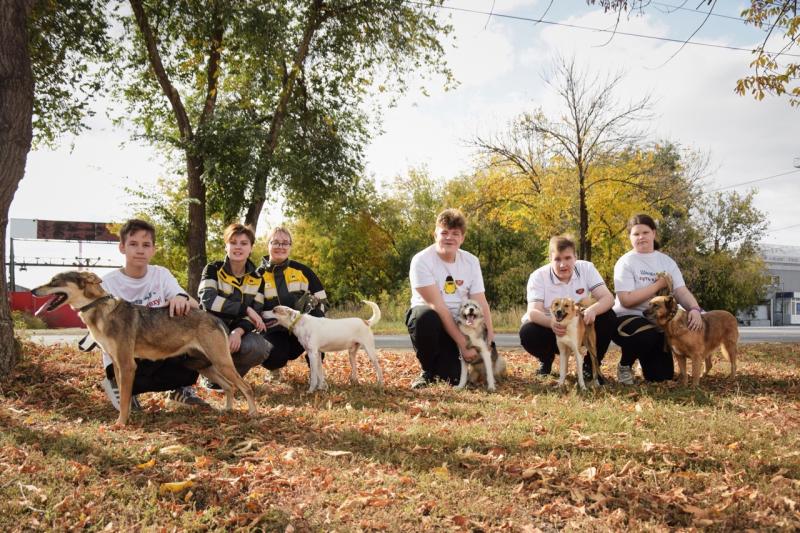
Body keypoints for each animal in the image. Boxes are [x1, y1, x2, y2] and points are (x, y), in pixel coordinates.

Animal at [30, 270, 256, 424]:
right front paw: (126, 418)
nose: (32, 291)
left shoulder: (128, 365)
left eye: (54, 281)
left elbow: (124, 399)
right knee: (229, 387)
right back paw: (227, 410)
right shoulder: (118, 366)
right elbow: (124, 396)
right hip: (204, 366)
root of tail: (214, 318)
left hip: (221, 363)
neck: (99, 309)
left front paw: (120, 424)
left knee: (246, 387)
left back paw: (252, 414)